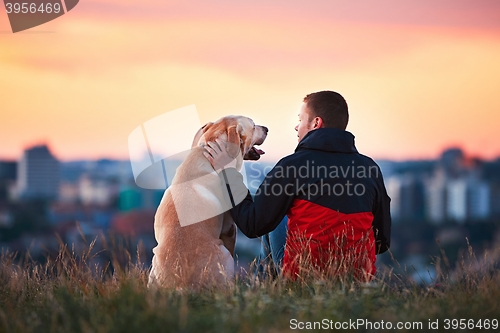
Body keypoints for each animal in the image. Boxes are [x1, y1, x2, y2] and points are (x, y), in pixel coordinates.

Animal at [147, 115, 268, 288]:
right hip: (224, 254)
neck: (206, 154)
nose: (266, 129)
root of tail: (181, 285)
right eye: (253, 126)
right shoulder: (229, 229)